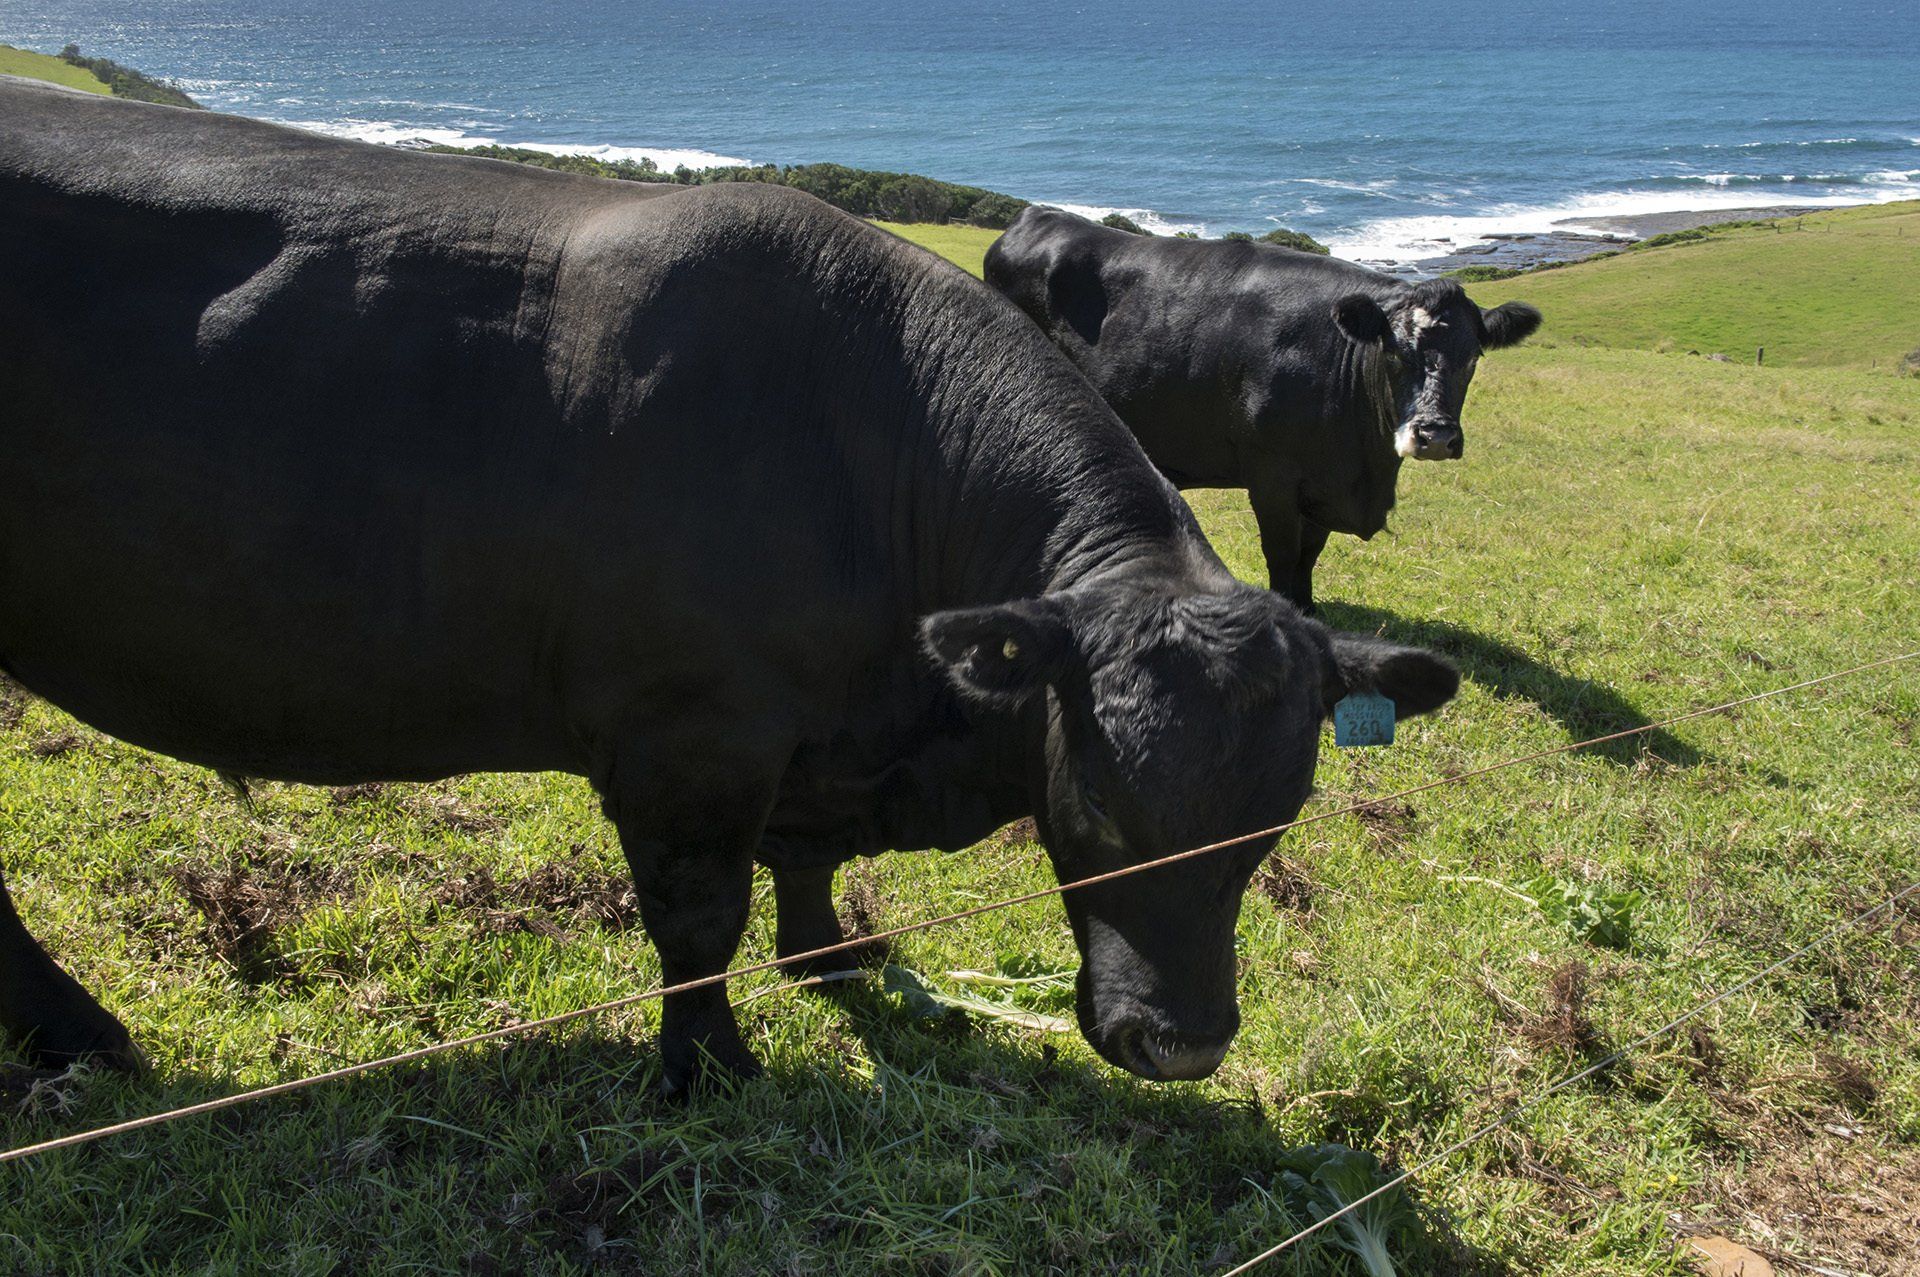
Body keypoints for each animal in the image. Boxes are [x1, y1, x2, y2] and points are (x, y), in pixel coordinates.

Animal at [0, 78, 1457, 1094]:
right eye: (1096, 802)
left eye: (1274, 821)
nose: (1183, 1049)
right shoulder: (691, 739)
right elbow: (701, 920)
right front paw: (708, 1065)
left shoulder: (811, 739)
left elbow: (803, 868)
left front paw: (832, 955)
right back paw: (84, 1039)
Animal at [984, 206, 1542, 613]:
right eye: (1395, 352)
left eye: (1472, 357)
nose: (1434, 436)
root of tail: (1037, 214)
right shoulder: (1272, 477)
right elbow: (1281, 556)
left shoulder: (1323, 486)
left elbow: (1308, 558)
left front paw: (1309, 610)